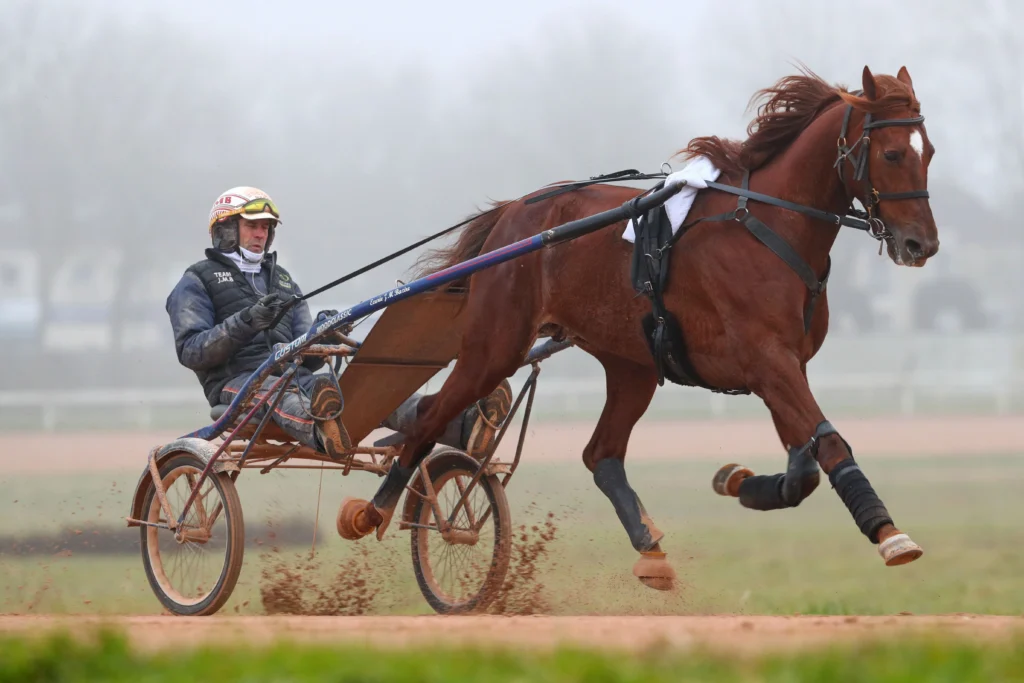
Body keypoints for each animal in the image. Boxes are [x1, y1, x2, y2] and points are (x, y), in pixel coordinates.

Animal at [344, 66, 937, 589]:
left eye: (928, 151)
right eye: (891, 153)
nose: (922, 244)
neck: (767, 227)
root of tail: (516, 212)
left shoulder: (784, 366)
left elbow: (804, 466)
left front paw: (741, 481)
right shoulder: (768, 362)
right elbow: (828, 446)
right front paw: (889, 533)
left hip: (632, 364)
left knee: (601, 454)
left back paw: (651, 551)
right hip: (496, 346)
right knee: (427, 419)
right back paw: (373, 510)